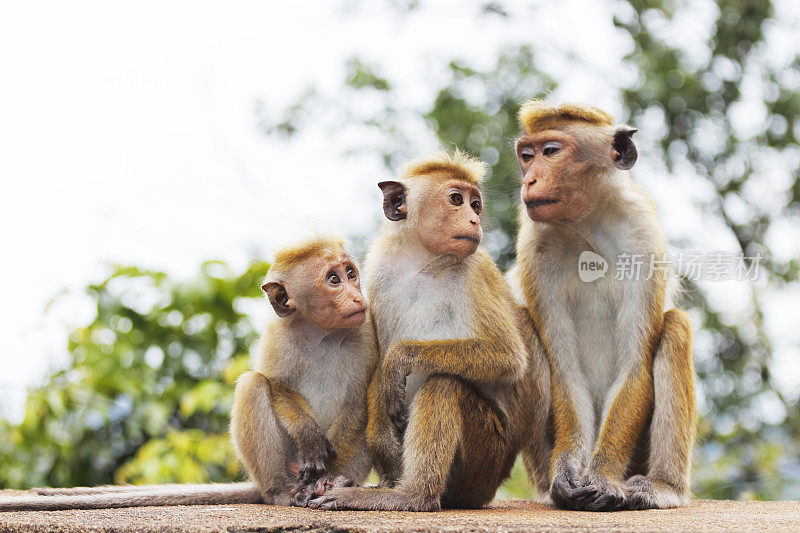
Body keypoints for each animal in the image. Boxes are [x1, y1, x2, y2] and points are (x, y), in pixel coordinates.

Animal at [0, 235, 376, 510]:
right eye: (333, 280)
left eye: (351, 274)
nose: (358, 297)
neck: (321, 333)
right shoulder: (277, 336)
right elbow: (275, 384)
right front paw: (309, 436)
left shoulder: (365, 333)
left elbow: (359, 400)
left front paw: (329, 475)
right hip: (286, 466)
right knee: (252, 385)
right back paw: (281, 491)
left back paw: (333, 483)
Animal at [306, 150, 544, 512]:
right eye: (457, 200)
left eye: (476, 205)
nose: (474, 221)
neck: (424, 263)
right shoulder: (379, 271)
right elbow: (377, 362)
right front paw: (380, 433)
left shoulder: (477, 271)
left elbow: (507, 356)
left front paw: (401, 357)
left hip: (485, 460)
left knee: (444, 384)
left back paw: (410, 495)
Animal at [512, 101, 692, 512]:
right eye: (526, 156)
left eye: (551, 152)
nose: (529, 181)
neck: (585, 225)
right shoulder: (533, 250)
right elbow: (567, 374)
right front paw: (566, 470)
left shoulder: (642, 236)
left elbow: (634, 369)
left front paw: (602, 475)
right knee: (523, 326)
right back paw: (547, 487)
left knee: (676, 327)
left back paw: (661, 487)